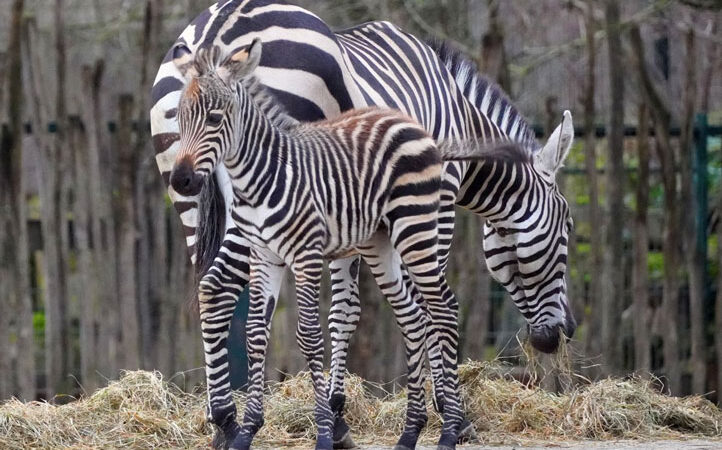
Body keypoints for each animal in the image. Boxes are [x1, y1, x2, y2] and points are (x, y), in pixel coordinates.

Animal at [149, 1, 576, 448]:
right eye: (566, 226)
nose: (564, 332)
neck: (457, 114)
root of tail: (212, 31)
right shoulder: (436, 200)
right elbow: (425, 304)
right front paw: (447, 411)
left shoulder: (347, 215)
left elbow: (346, 310)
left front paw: (338, 415)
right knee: (217, 289)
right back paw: (229, 422)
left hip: (189, 199)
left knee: (208, 290)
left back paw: (220, 421)